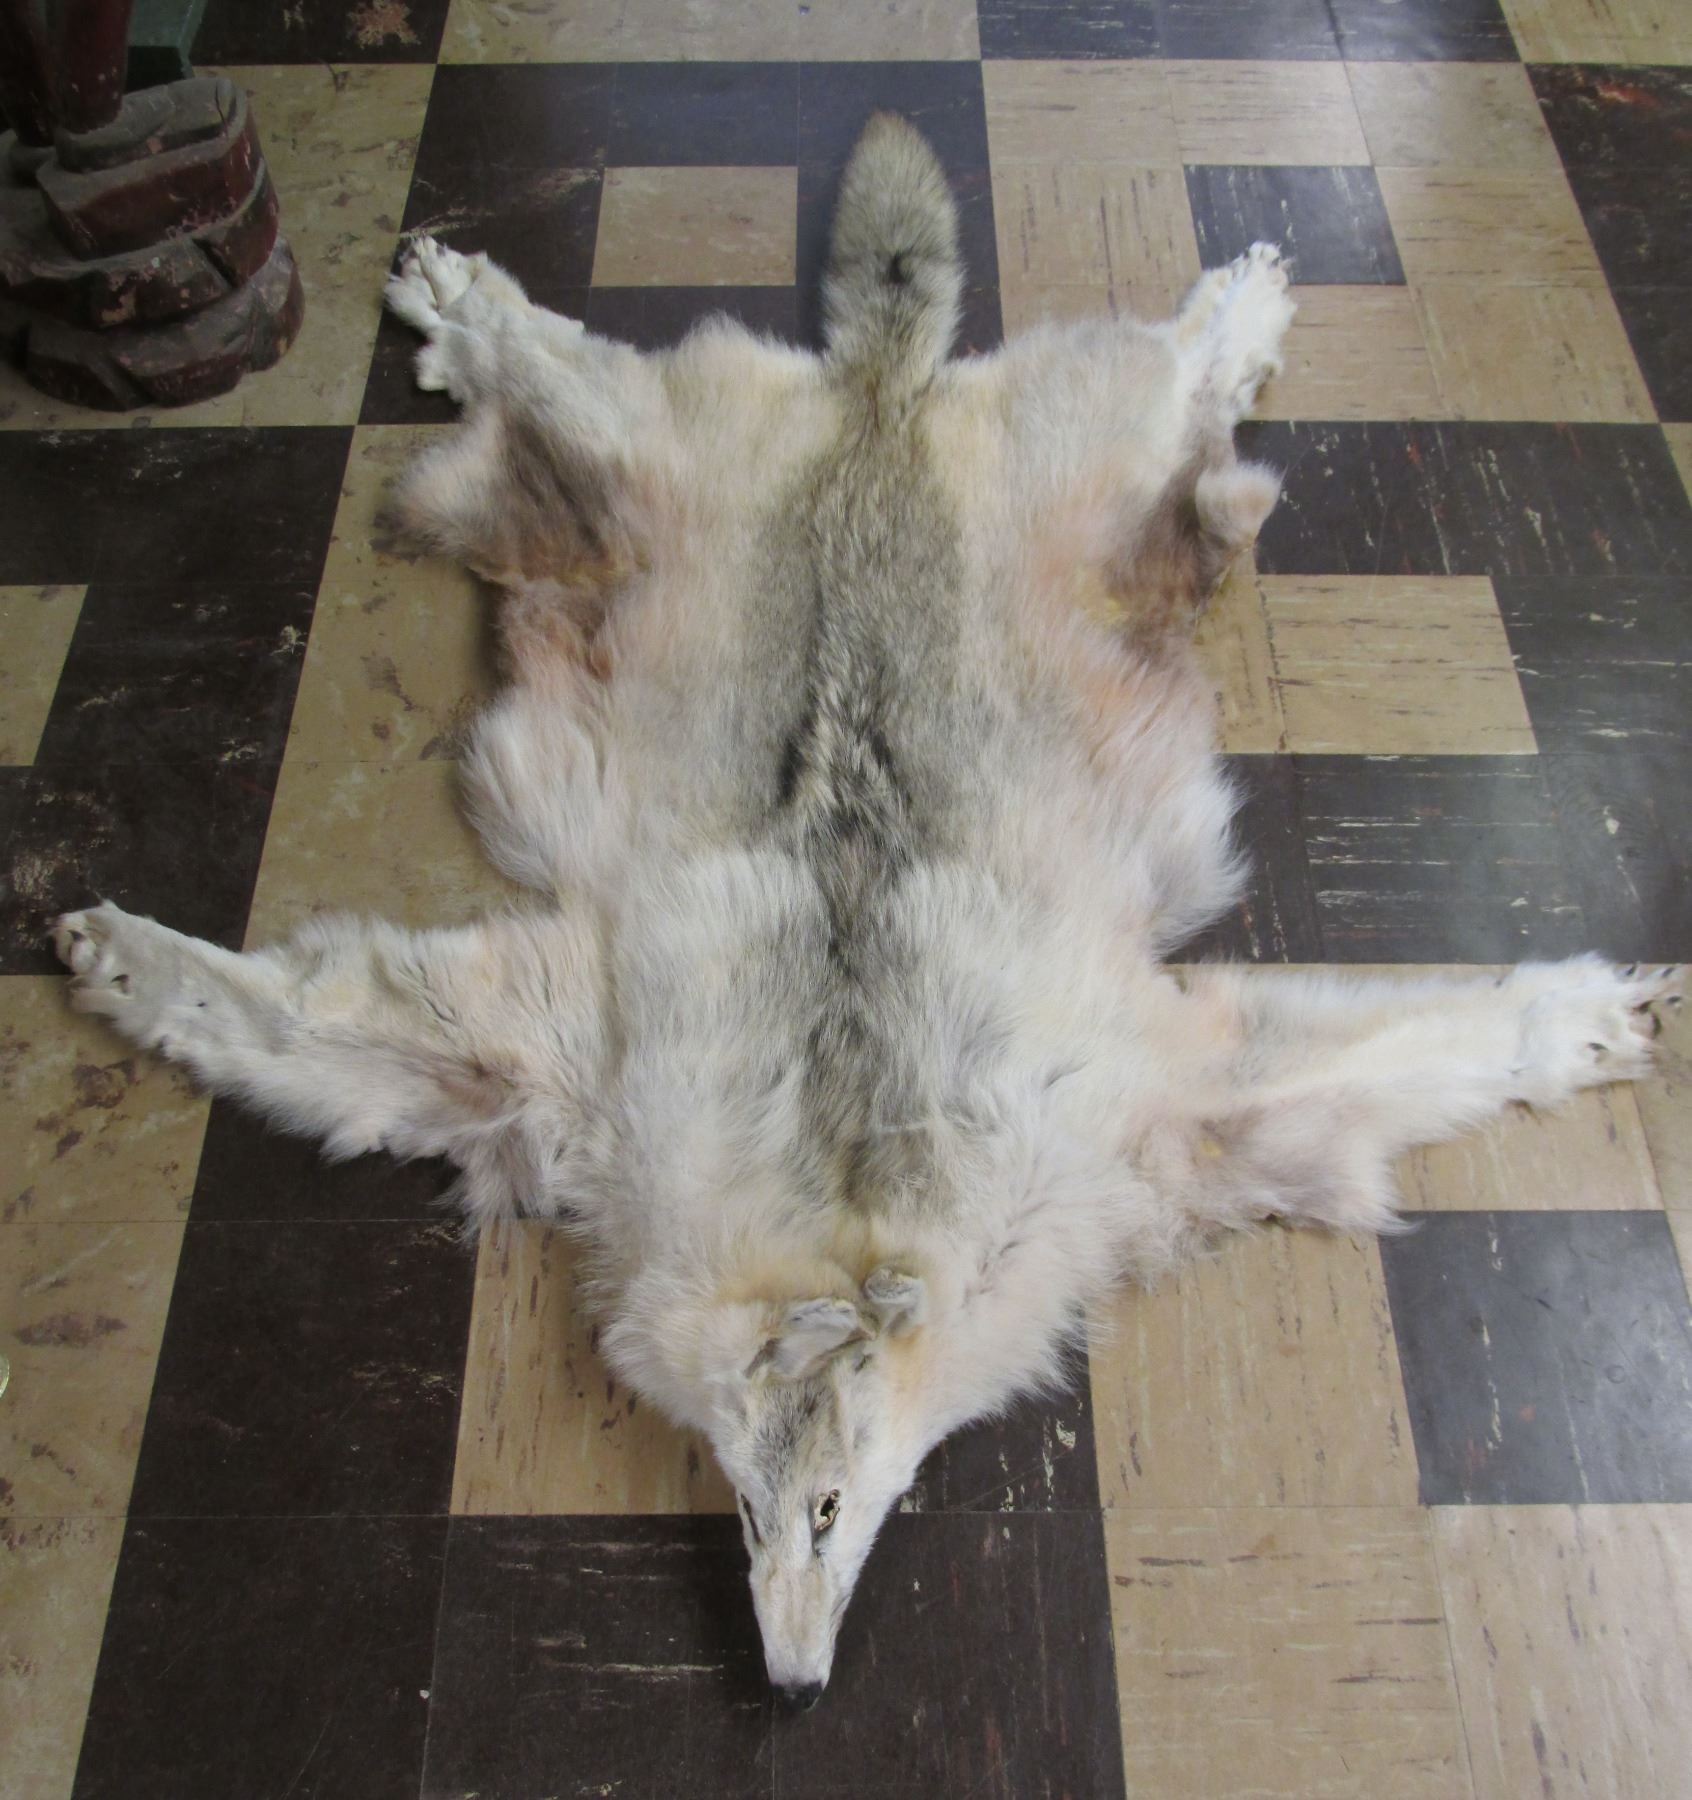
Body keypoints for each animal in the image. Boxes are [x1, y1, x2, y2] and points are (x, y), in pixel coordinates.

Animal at [51, 116, 1680, 1706]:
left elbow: (1444, 1035)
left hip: (1086, 469)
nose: (790, 1690)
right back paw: (459, 293)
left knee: (1176, 371)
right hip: (631, 469)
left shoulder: (1156, 1099)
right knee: (540, 360)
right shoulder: (545, 1068)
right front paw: (113, 954)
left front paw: (1605, 1015)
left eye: (825, 1511)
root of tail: (879, 401)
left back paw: (1249, 296)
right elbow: (276, 1019)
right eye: (737, 1504)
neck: (848, 1169)